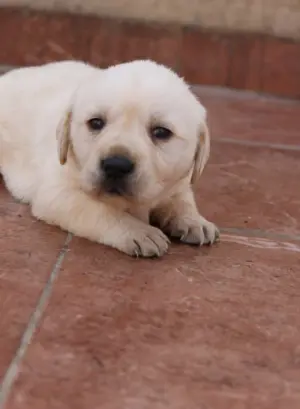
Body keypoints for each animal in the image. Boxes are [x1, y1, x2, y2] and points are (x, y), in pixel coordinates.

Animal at [0, 59, 220, 256]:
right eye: (96, 122)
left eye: (161, 132)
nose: (116, 165)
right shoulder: (56, 194)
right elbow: (101, 210)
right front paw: (138, 231)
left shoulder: (179, 180)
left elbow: (182, 198)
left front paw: (194, 220)